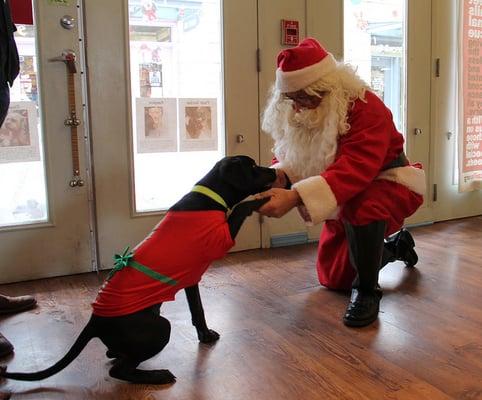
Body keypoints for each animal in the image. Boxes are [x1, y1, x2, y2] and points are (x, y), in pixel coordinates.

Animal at [0, 155, 274, 384]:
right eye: (252, 166)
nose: (273, 172)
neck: (210, 196)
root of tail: (95, 322)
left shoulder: (190, 279)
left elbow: (197, 310)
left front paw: (204, 335)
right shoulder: (219, 240)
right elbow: (239, 209)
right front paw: (259, 200)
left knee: (115, 355)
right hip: (162, 327)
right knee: (119, 371)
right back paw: (157, 375)